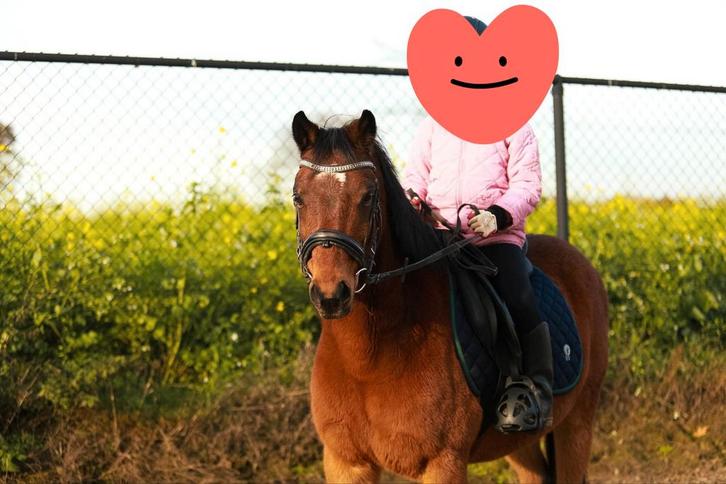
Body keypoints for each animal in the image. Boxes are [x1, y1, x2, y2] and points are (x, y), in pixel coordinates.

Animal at [291, 109, 609, 483]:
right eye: (298, 196)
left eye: (368, 196)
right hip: (518, 443)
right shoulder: (345, 462)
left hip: (576, 424)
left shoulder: (443, 462)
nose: (331, 294)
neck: (369, 355)